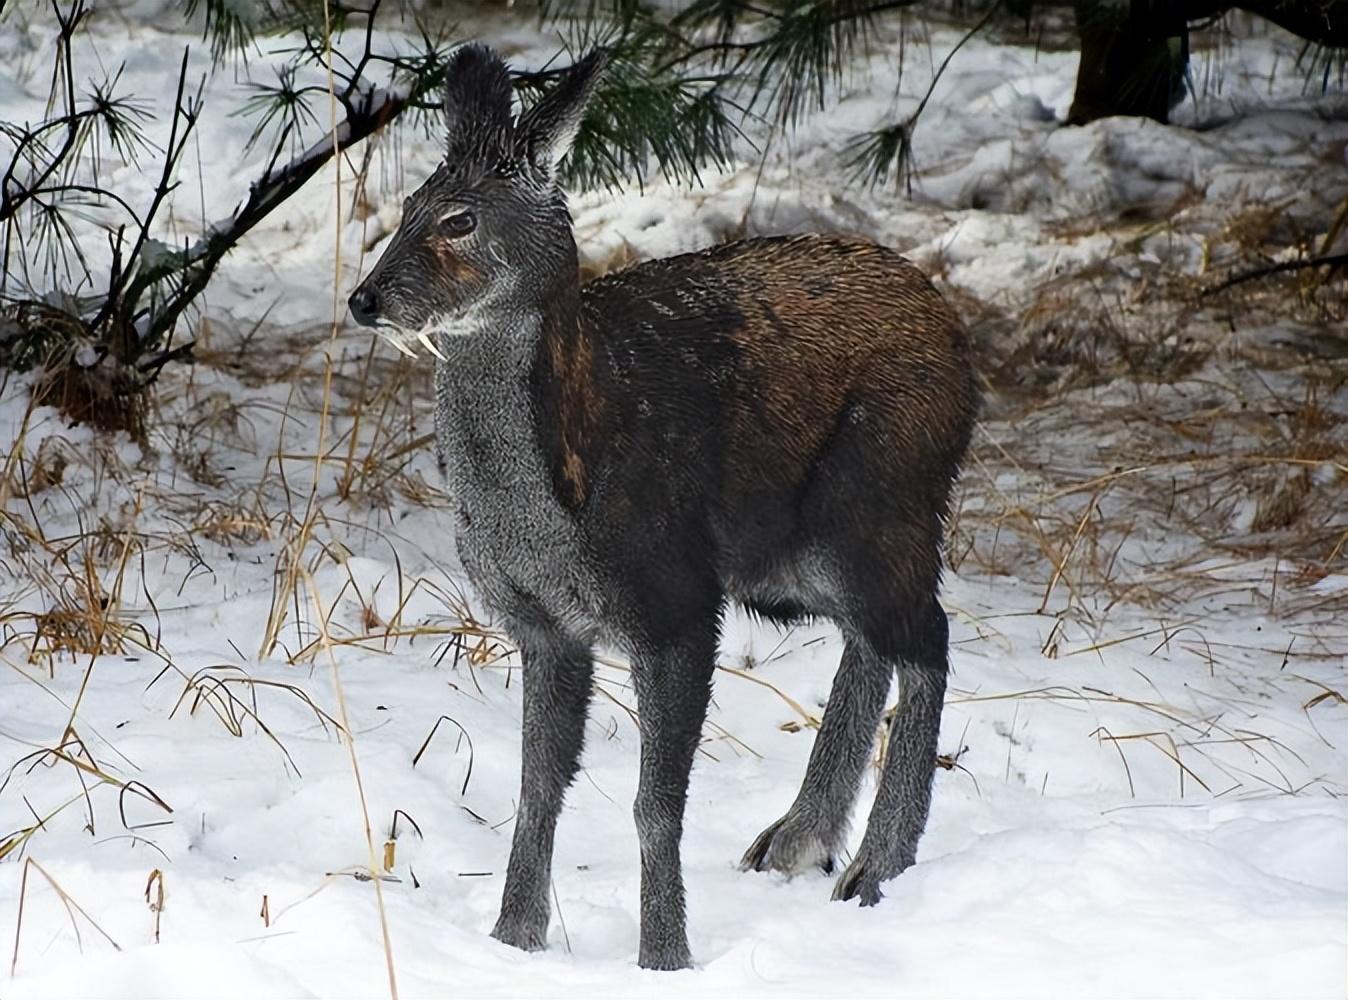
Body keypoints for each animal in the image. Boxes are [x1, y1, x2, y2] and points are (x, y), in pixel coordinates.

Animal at [347, 45, 981, 970]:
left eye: (459, 220)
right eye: (405, 208)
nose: (365, 298)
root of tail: (956, 334)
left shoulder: (676, 602)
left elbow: (655, 804)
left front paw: (664, 956)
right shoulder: (543, 625)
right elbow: (537, 787)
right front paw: (513, 940)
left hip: (880, 499)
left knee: (925, 636)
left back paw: (875, 867)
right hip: (789, 555)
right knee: (875, 640)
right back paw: (798, 841)